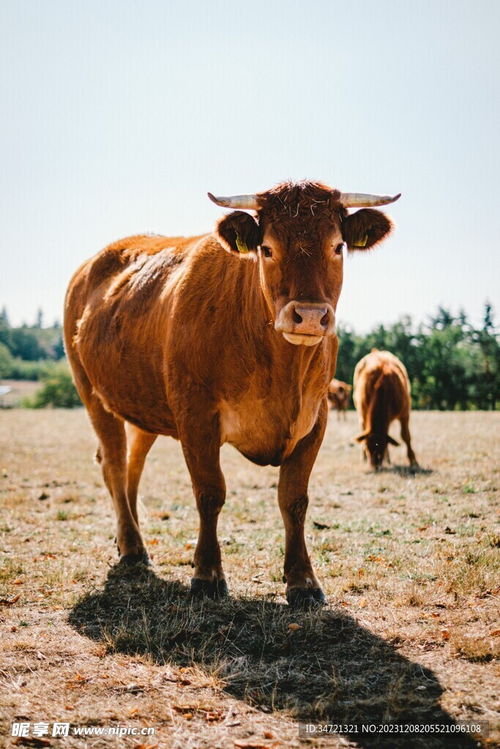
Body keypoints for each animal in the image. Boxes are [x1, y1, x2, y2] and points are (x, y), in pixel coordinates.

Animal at [64, 181, 398, 608]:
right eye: (267, 248)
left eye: (337, 246)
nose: (309, 316)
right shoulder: (196, 416)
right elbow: (210, 492)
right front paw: (207, 575)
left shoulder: (315, 419)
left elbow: (294, 499)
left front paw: (303, 581)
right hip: (92, 393)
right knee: (114, 464)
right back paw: (133, 547)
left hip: (145, 406)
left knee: (131, 468)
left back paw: (132, 540)